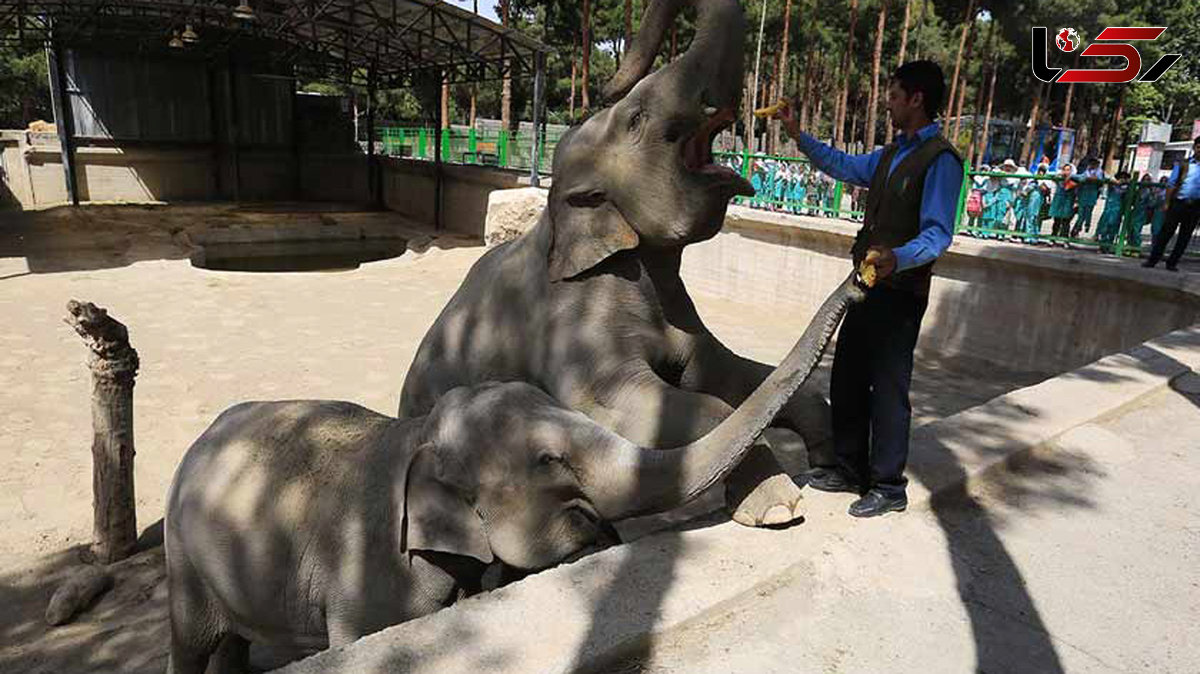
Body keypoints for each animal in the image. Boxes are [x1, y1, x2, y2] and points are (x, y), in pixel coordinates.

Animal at [164, 268, 868, 671]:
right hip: (183, 562)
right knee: (191, 642)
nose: (864, 274)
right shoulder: (362, 575)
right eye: (549, 460)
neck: (419, 436)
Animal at [400, 0, 825, 525]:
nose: (606, 86)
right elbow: (669, 405)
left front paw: (826, 460)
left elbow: (734, 374)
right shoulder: (571, 328)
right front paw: (778, 508)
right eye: (636, 119)